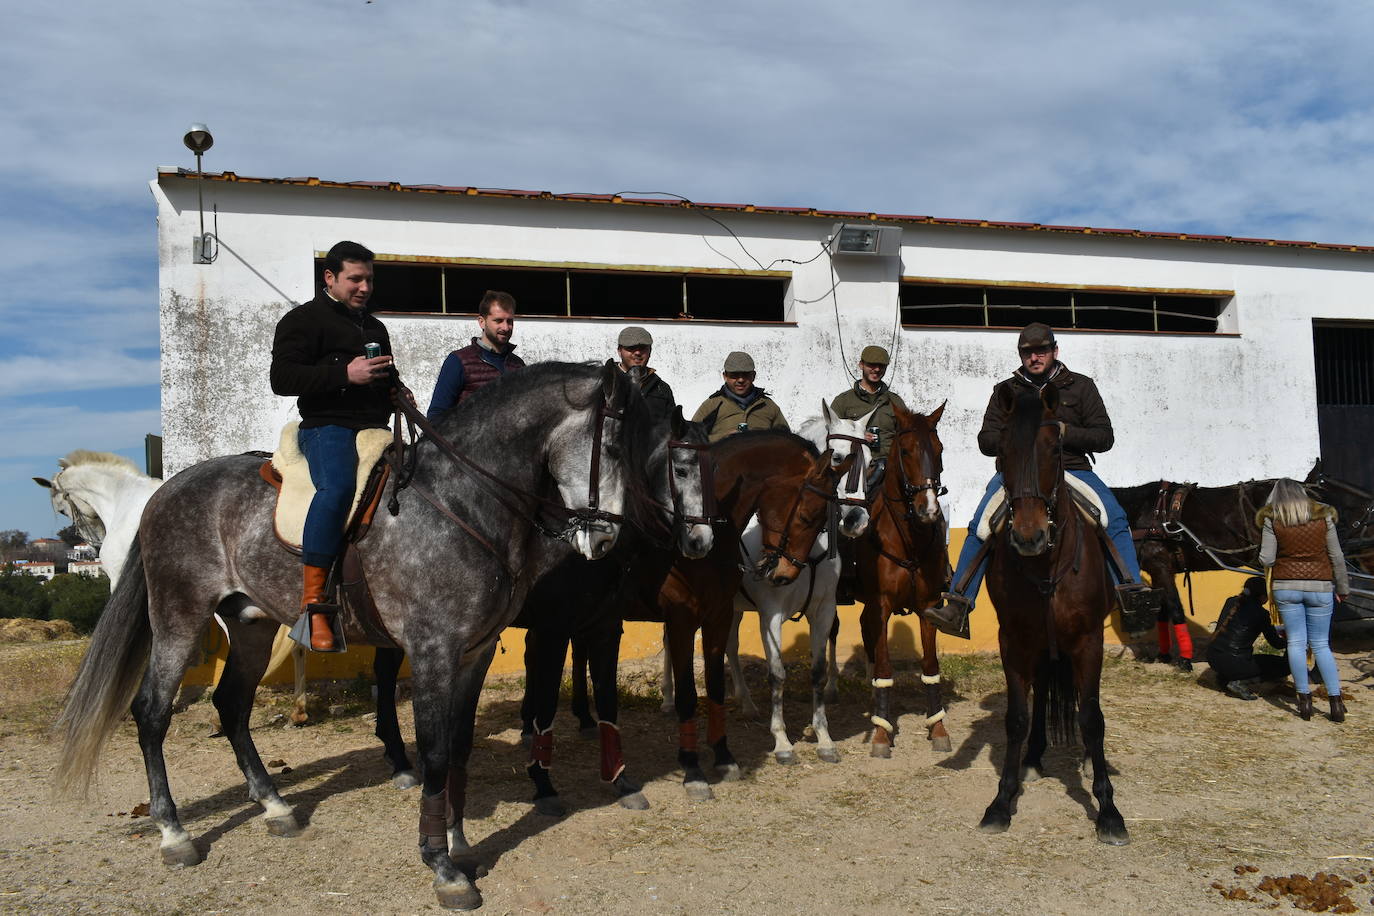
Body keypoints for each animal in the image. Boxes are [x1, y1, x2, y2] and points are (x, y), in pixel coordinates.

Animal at [60, 359, 659, 911]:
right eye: (610, 445)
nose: (605, 540)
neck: (463, 500)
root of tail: (166, 492)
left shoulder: (476, 654)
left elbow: (460, 749)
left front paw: (460, 842)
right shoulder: (434, 652)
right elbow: (435, 754)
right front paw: (442, 866)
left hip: (250, 624)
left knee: (231, 705)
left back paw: (276, 807)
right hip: (179, 617)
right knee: (152, 712)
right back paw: (174, 834)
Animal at [851, 403, 950, 758]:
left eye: (939, 449)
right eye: (905, 450)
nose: (928, 510)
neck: (908, 538)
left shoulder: (929, 606)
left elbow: (930, 668)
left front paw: (938, 728)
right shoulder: (881, 605)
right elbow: (884, 668)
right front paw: (881, 733)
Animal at [983, 381, 1132, 845]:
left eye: (1054, 448)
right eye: (1003, 451)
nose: (1028, 537)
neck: (1046, 564)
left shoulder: (1089, 640)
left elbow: (1092, 718)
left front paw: (1109, 811)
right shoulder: (1013, 640)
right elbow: (1017, 717)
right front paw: (1002, 801)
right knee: (1043, 692)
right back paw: (1033, 757)